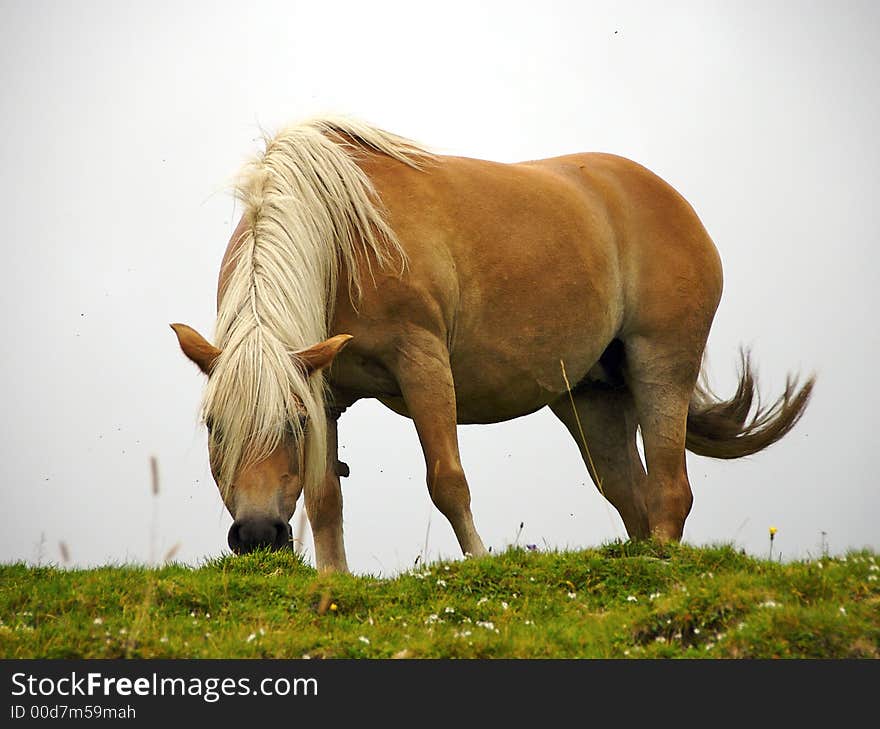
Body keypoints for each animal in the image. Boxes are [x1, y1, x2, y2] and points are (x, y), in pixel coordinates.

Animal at [174, 116, 820, 572]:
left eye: (290, 423)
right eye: (213, 426)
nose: (258, 535)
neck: (343, 235)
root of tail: (671, 201)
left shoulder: (423, 363)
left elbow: (447, 479)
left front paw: (479, 562)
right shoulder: (325, 387)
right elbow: (324, 498)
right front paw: (334, 582)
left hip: (662, 362)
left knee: (669, 493)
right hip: (591, 398)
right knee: (631, 497)